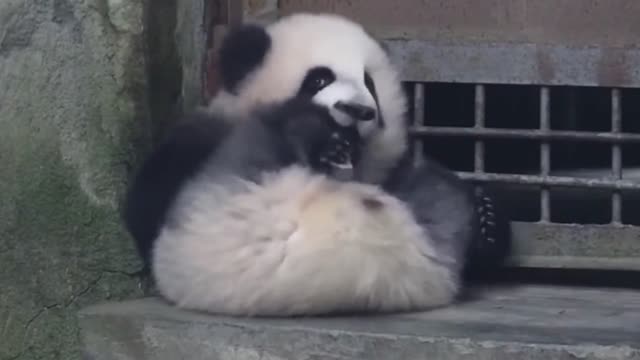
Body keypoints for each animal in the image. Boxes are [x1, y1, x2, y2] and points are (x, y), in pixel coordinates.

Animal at [124, 11, 510, 316]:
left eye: (369, 82)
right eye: (320, 78)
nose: (358, 110)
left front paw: (489, 219)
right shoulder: (199, 145)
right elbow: (148, 209)